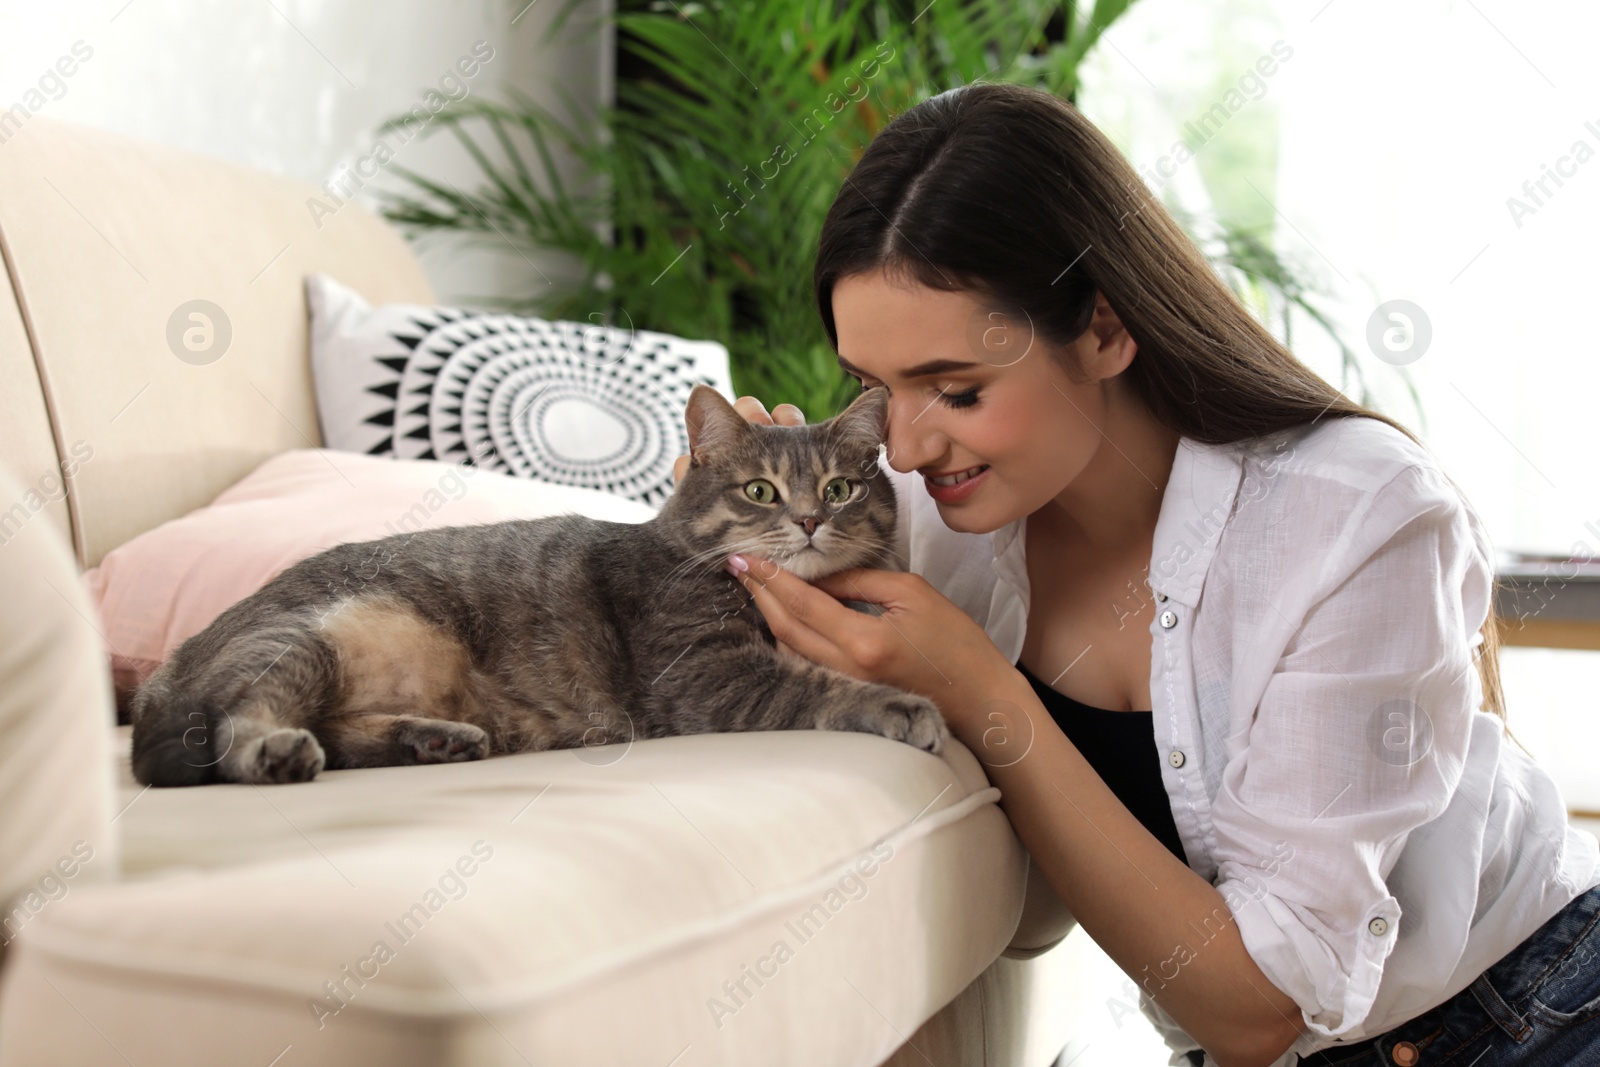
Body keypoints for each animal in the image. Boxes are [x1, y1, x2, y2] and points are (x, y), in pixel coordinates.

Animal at [134, 383, 947, 783]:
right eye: (761, 491)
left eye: (839, 488)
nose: (810, 519)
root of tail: (157, 680)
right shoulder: (707, 675)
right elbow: (818, 685)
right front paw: (904, 705)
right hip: (304, 641)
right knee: (231, 729)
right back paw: (278, 753)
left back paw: (434, 740)